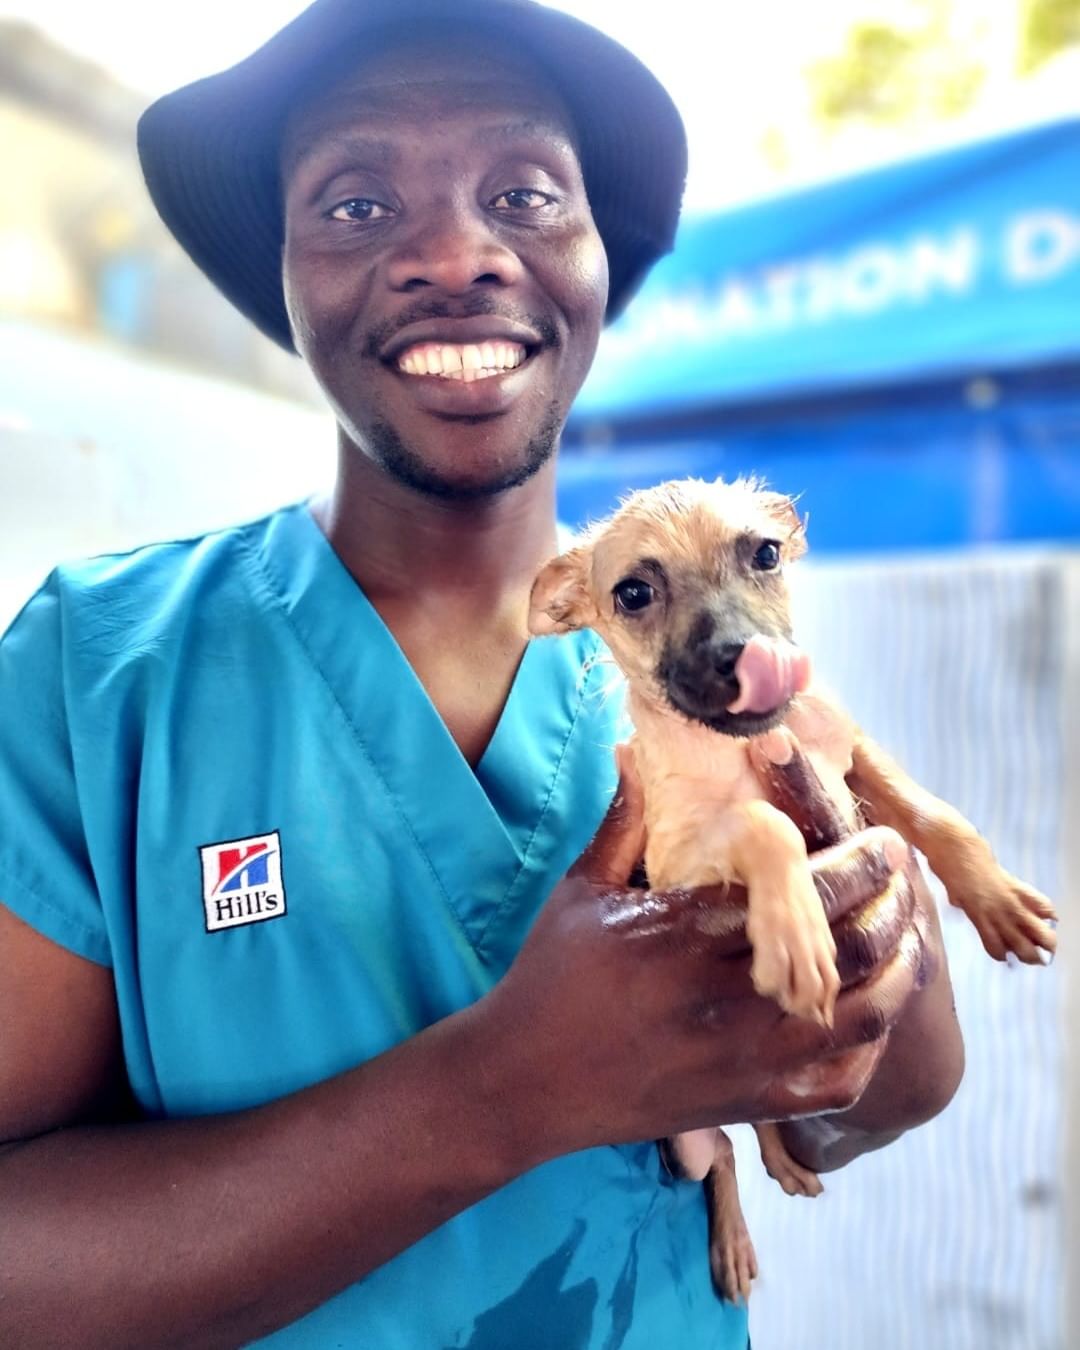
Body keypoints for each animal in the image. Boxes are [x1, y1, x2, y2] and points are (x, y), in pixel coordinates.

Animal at [526, 477, 1058, 1306]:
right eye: (634, 593)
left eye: (766, 555)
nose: (751, 657)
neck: (740, 746)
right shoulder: (678, 856)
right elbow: (762, 822)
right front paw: (798, 937)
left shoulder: (847, 751)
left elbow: (931, 812)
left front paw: (995, 899)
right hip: (682, 1138)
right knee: (720, 1150)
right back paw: (736, 1238)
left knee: (759, 1122)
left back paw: (783, 1160)